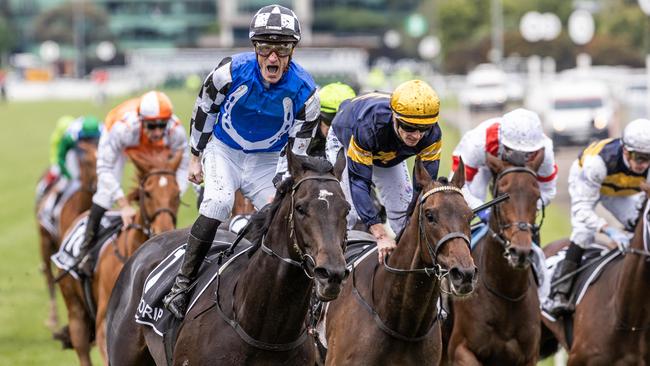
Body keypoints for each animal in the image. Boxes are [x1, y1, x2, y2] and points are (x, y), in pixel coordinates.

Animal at [446, 152, 540, 366]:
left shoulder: (529, 356)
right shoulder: (459, 350)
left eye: (537, 196)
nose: (520, 252)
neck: (507, 292)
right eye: (503, 195)